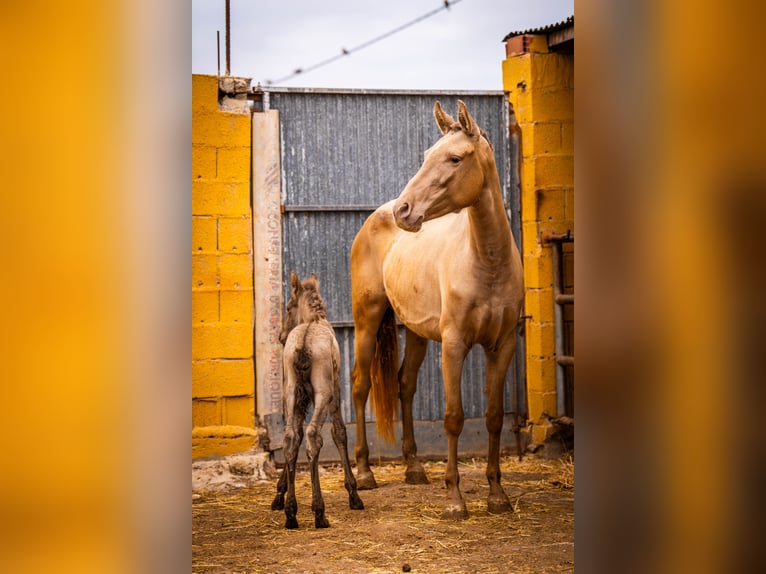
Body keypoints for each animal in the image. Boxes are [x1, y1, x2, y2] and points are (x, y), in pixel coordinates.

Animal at [272, 274, 364, 532]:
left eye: (288, 307)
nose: (281, 336)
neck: (315, 319)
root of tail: (303, 345)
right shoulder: (336, 389)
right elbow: (340, 432)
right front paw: (353, 493)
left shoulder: (296, 399)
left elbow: (295, 437)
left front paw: (279, 495)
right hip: (324, 394)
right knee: (314, 435)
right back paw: (319, 511)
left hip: (291, 392)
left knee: (291, 437)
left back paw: (291, 513)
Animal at [352, 100, 524, 520]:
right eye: (426, 155)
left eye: (454, 158)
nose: (405, 210)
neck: (487, 262)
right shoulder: (454, 345)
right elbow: (453, 418)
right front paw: (454, 500)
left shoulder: (503, 347)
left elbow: (494, 418)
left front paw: (497, 495)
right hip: (367, 322)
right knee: (360, 386)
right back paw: (364, 474)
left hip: (415, 332)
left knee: (405, 385)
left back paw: (414, 468)